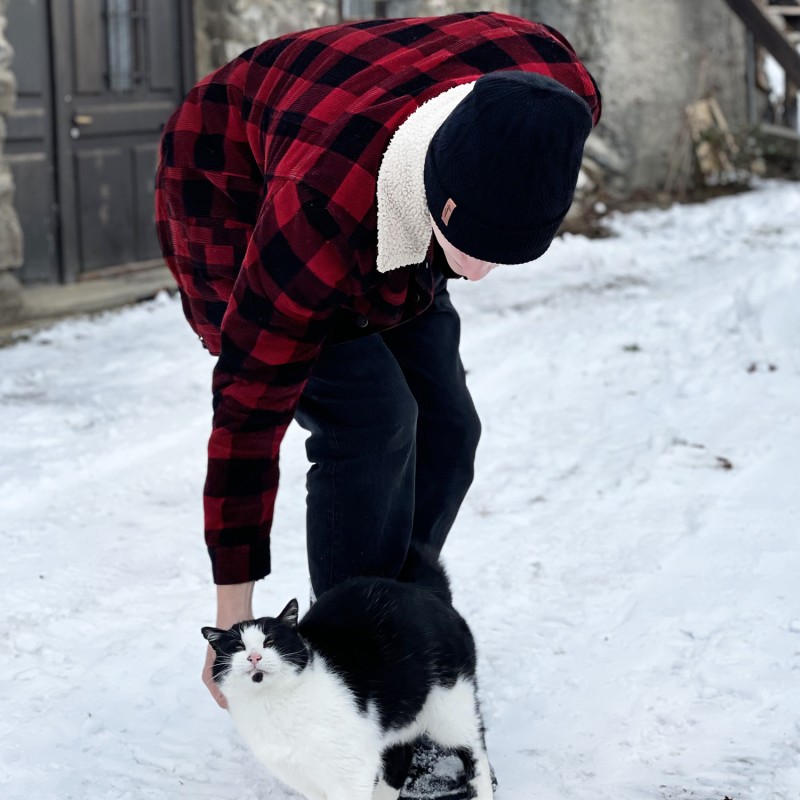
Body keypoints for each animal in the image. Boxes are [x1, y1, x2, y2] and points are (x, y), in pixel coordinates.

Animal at [200, 556, 494, 800]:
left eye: (270, 641)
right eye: (238, 647)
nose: (254, 657)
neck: (273, 705)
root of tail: (431, 595)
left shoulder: (350, 773)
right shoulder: (304, 776)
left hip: (451, 707)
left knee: (475, 752)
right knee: (400, 757)